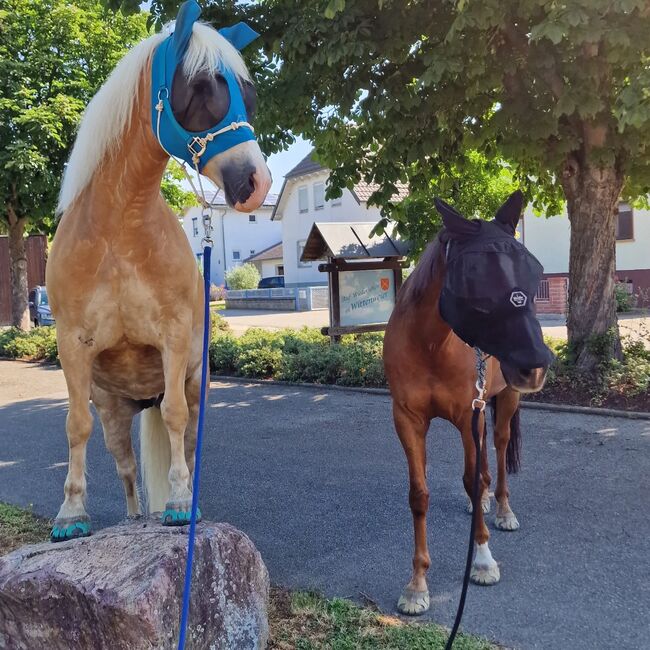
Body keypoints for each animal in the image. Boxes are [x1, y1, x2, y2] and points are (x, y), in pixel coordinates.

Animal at [45, 2, 268, 540]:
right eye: (203, 85)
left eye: (249, 96)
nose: (256, 184)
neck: (117, 231)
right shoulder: (71, 346)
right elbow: (74, 426)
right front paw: (71, 514)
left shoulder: (172, 337)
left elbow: (174, 417)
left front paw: (181, 505)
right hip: (113, 408)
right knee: (125, 467)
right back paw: (132, 518)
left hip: (190, 382)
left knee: (183, 434)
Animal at [384, 191, 552, 612]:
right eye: (475, 278)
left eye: (533, 269)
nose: (535, 366)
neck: (430, 344)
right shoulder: (407, 419)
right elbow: (420, 494)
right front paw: (417, 584)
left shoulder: (467, 417)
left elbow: (473, 476)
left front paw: (483, 561)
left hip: (506, 399)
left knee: (500, 445)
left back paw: (503, 509)